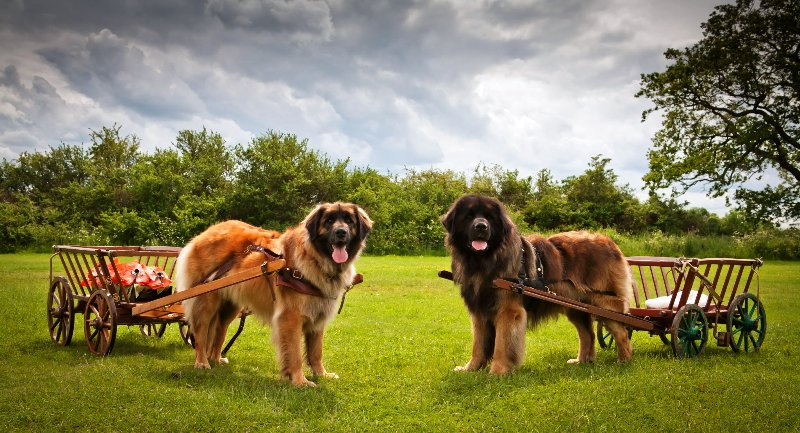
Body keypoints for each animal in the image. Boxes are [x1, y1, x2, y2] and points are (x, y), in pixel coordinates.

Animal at [175, 202, 372, 384]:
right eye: (329, 221)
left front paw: (322, 374)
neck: (315, 259)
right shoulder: (291, 317)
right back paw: (202, 362)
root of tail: (206, 232)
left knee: (219, 330)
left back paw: (216, 359)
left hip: (230, 305)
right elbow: (295, 353)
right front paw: (300, 381)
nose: (341, 232)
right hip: (207, 300)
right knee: (201, 332)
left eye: (349, 220)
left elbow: (316, 351)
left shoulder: (317, 313)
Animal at [444, 194, 632, 372]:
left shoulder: (508, 311)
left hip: (604, 302)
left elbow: (501, 345)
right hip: (576, 306)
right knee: (588, 334)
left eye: (489, 217)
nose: (481, 227)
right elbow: (478, 345)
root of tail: (610, 242)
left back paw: (624, 360)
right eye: (469, 216)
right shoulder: (479, 311)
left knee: (621, 331)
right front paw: (470, 369)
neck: (485, 261)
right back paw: (582, 361)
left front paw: (497, 371)